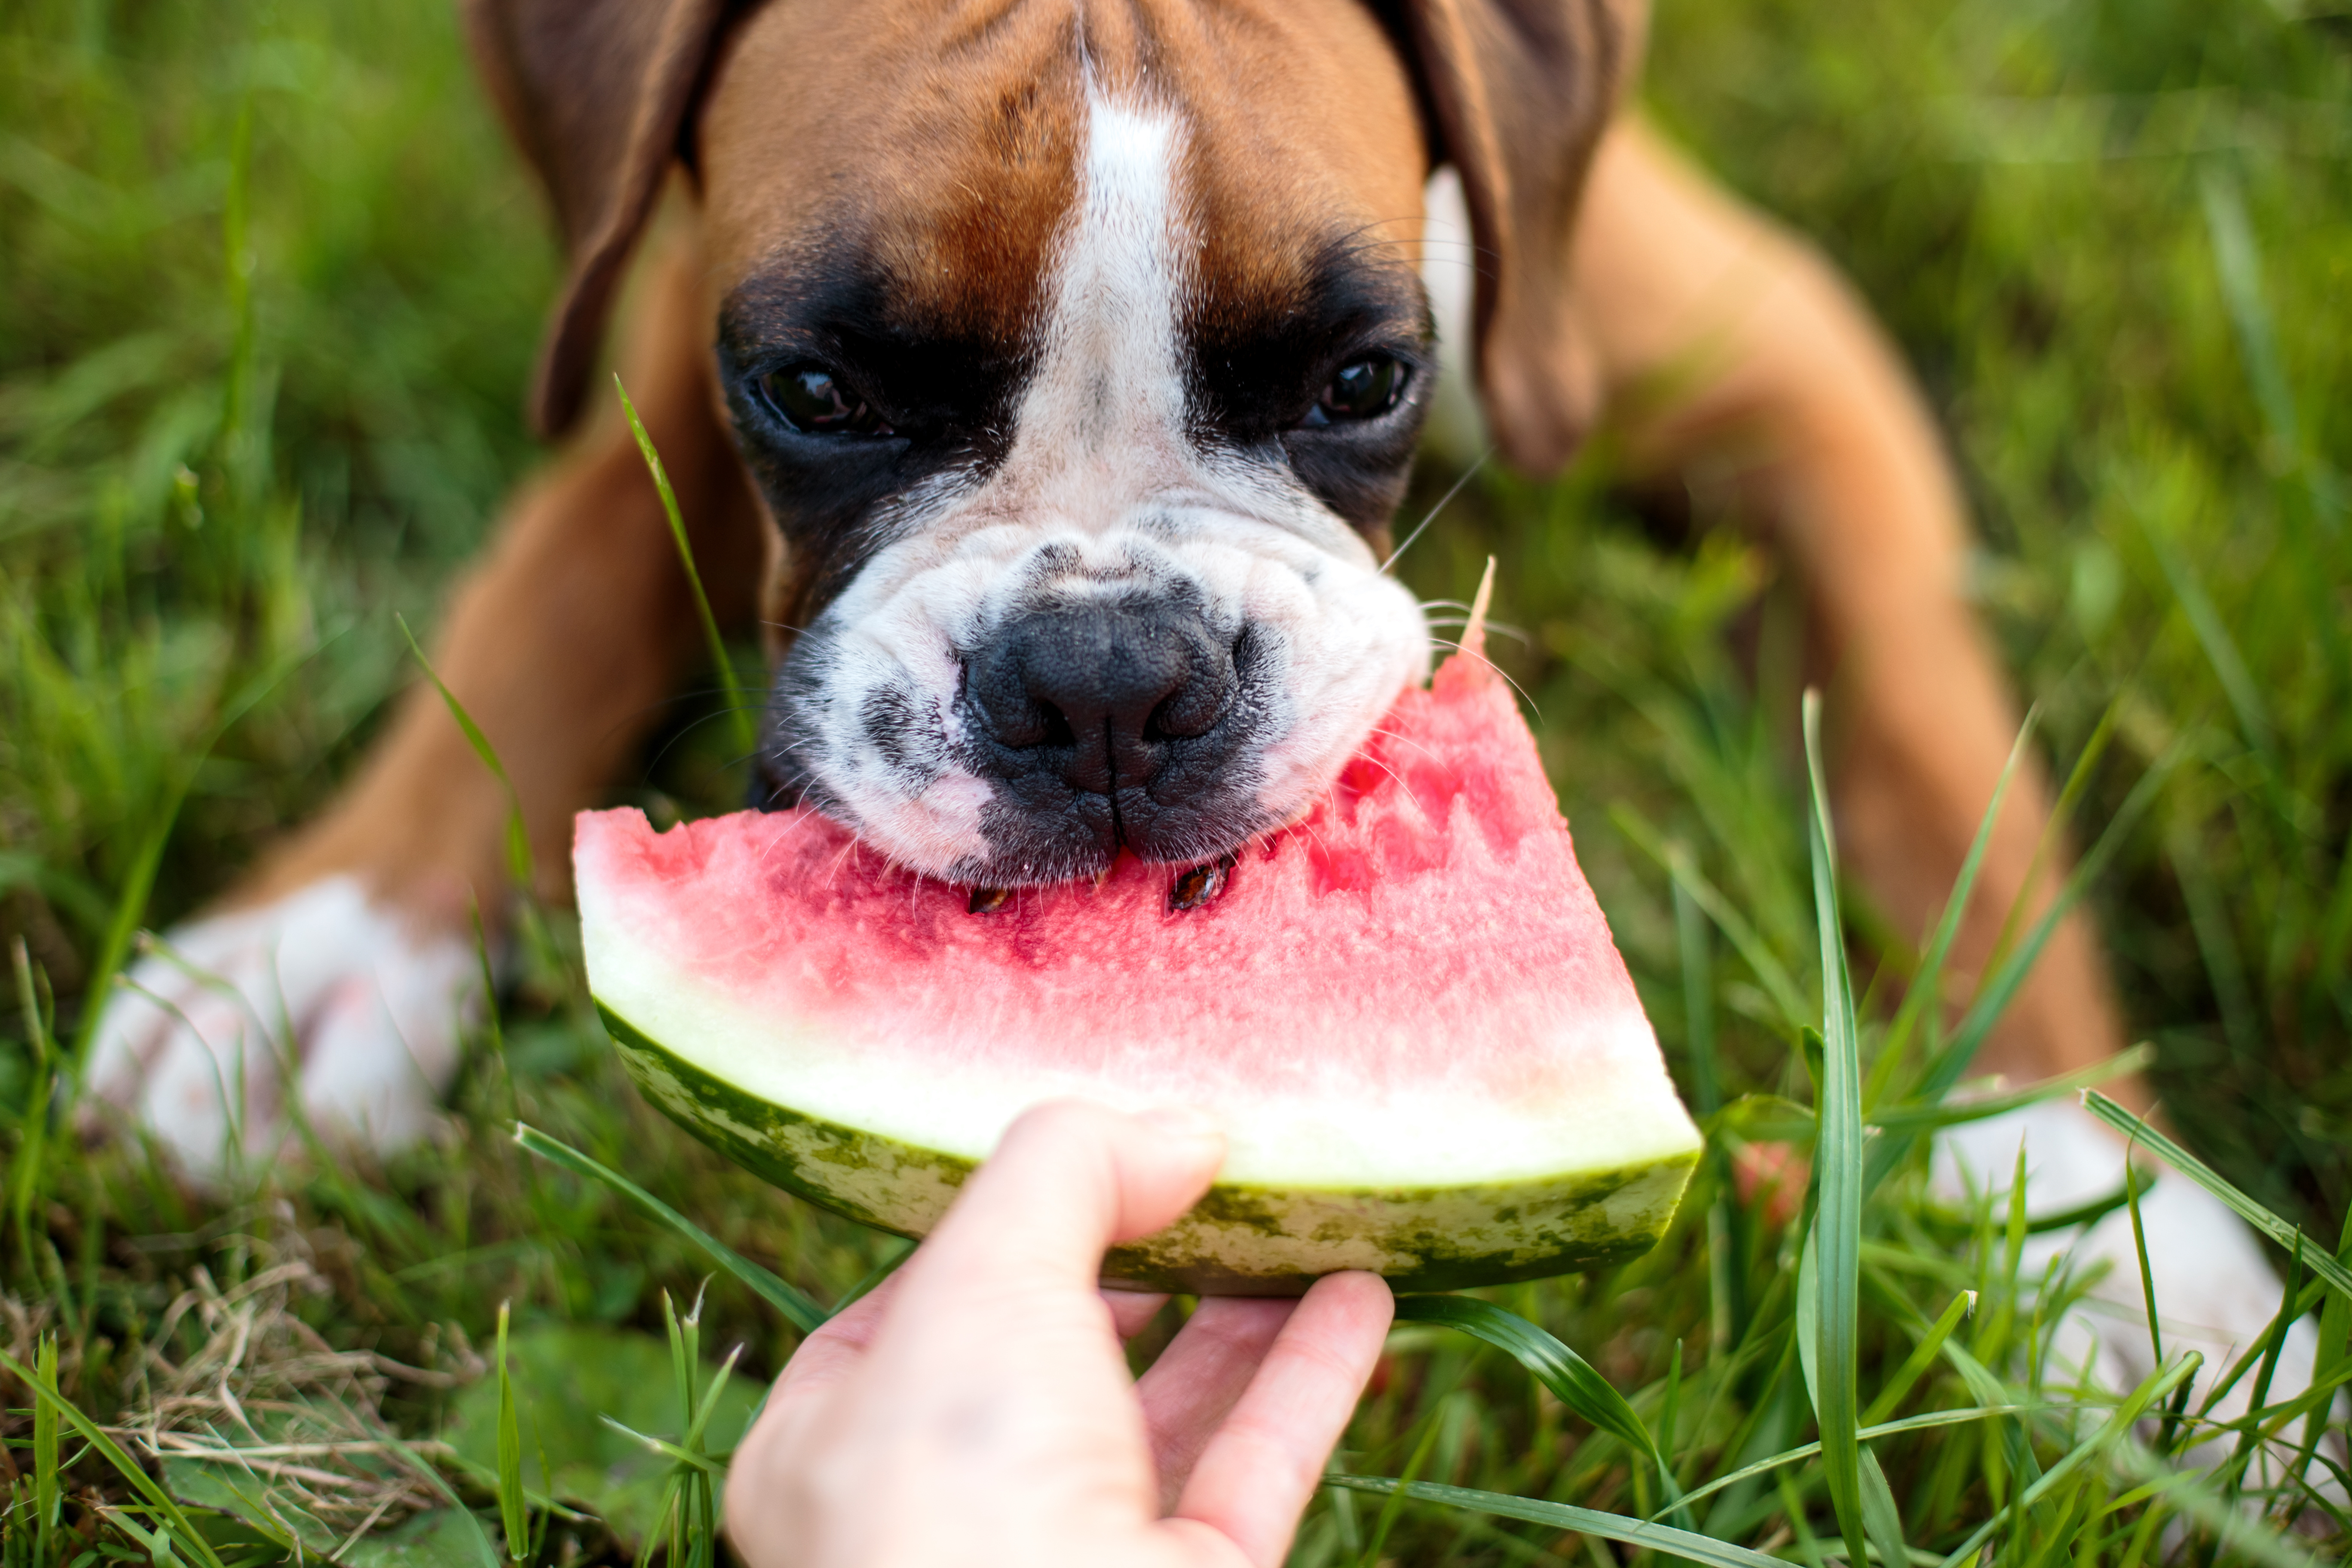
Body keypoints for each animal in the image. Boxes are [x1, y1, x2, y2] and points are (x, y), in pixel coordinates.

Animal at [83, 0, 2324, 1457]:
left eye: (1364, 375)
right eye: (814, 391)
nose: (1102, 680)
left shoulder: (1783, 362)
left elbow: (1943, 766)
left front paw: (2095, 1207)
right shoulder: (659, 334)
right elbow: (545, 580)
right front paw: (317, 947)